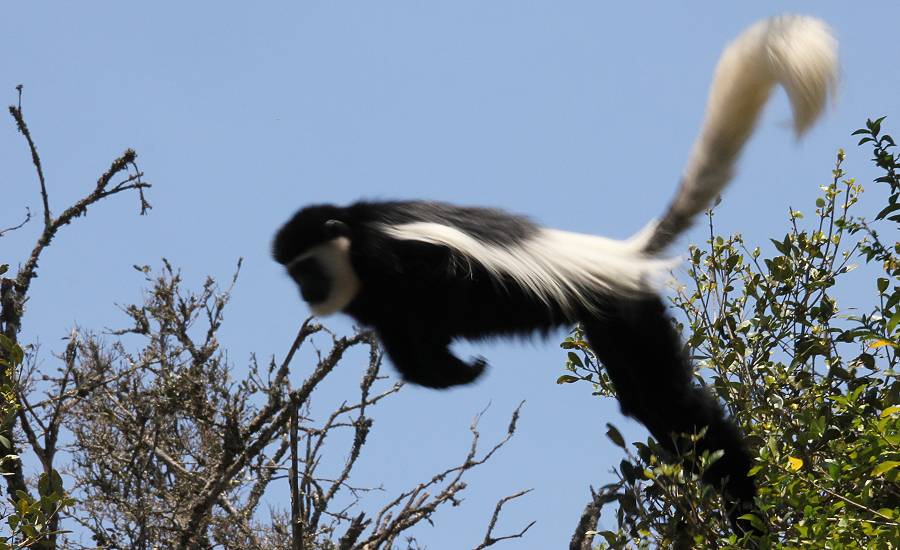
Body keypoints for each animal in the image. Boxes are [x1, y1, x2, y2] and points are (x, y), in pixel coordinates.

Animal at [272, 16, 836, 532]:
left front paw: (469, 362)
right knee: (650, 404)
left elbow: (435, 299)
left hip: (628, 312)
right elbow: (417, 360)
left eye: (305, 268)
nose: (306, 292)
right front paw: (464, 370)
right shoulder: (386, 316)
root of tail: (622, 255)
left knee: (678, 404)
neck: (354, 248)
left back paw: (749, 509)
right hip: (612, 325)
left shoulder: (394, 259)